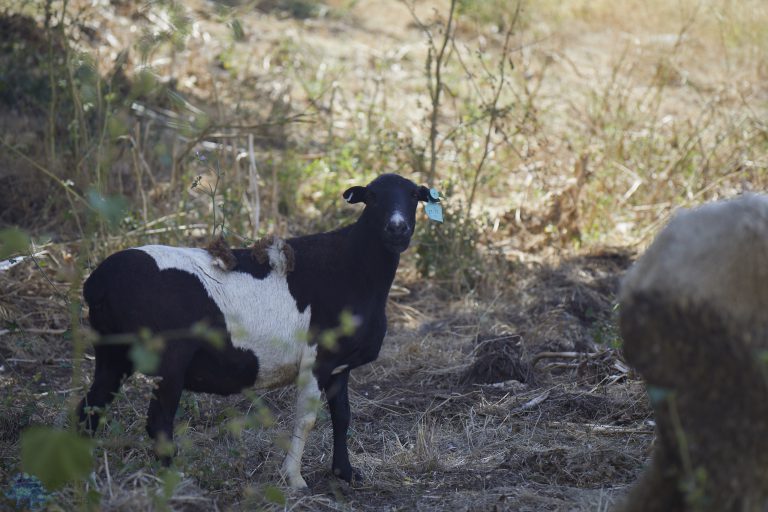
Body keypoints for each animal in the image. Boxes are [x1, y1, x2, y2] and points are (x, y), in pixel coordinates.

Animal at [77, 173, 435, 489]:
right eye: (372, 197)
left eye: (414, 196)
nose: (397, 228)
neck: (355, 267)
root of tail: (98, 283)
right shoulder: (316, 359)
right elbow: (306, 418)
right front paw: (294, 479)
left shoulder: (339, 364)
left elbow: (342, 415)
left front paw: (345, 473)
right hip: (168, 358)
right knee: (157, 423)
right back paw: (172, 481)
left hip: (111, 352)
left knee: (90, 409)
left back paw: (85, 474)